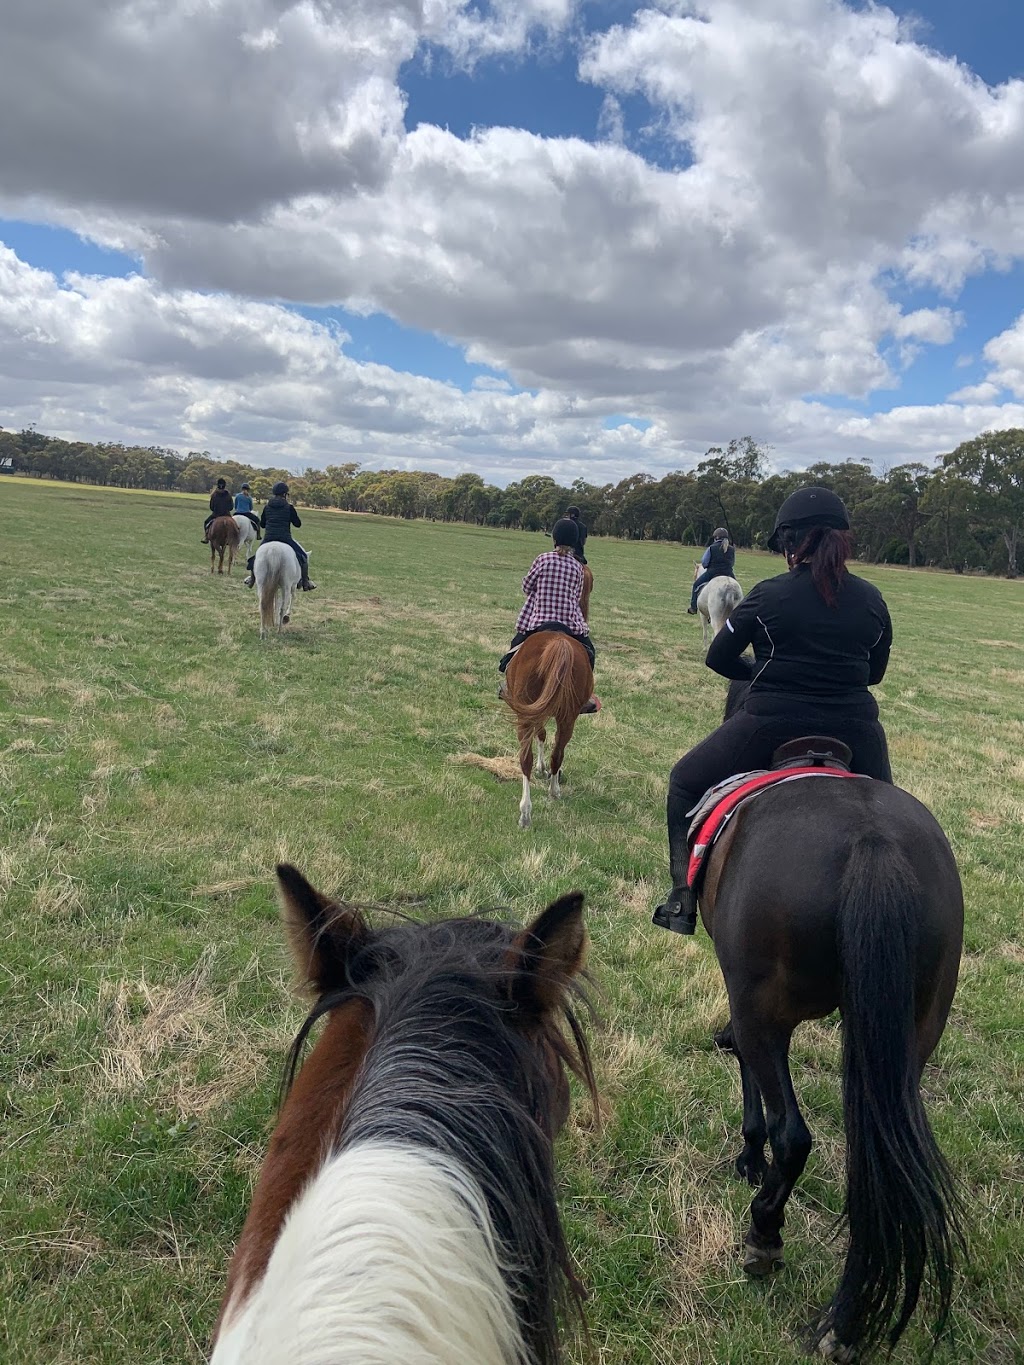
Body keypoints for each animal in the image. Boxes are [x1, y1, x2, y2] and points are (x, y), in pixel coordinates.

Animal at [505, 630, 592, 829]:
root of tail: (559, 642)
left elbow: (541, 735)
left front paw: (541, 768)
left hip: (526, 714)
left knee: (526, 759)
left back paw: (527, 811)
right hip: (567, 718)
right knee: (557, 754)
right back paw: (550, 792)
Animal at [693, 720, 966, 1359]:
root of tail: (872, 842)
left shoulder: (749, 1004)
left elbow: (755, 1092)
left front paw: (749, 1160)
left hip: (765, 1012)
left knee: (794, 1136)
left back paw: (765, 1235)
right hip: (909, 1041)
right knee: (877, 1171)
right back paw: (843, 1322)